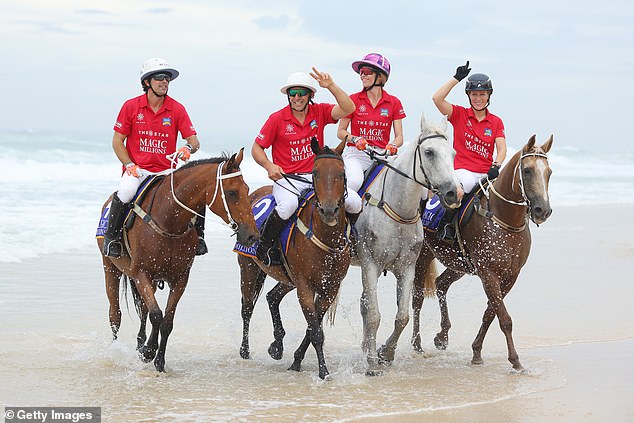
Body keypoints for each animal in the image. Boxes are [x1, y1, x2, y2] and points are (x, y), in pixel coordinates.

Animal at [97, 151, 256, 372]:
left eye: (247, 189)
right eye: (232, 193)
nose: (252, 235)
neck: (169, 219)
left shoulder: (180, 279)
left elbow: (166, 321)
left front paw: (157, 359)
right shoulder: (141, 274)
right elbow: (157, 315)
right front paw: (149, 352)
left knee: (143, 310)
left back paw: (140, 344)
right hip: (111, 268)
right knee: (115, 314)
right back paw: (116, 349)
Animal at [236, 138, 348, 380]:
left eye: (342, 173)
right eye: (315, 173)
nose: (328, 210)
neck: (326, 238)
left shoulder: (329, 287)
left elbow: (313, 326)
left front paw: (296, 360)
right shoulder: (304, 287)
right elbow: (315, 330)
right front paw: (323, 371)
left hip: (288, 279)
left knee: (272, 297)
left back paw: (277, 345)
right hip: (248, 268)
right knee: (247, 307)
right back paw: (245, 350)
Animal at [350, 114, 460, 376]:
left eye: (452, 153)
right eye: (429, 152)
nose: (453, 193)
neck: (397, 209)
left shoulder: (407, 268)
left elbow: (402, 316)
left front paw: (385, 353)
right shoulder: (371, 265)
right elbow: (374, 315)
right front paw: (373, 364)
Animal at [410, 135, 552, 372]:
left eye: (549, 172)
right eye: (527, 170)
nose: (543, 210)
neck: (505, 219)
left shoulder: (510, 275)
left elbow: (490, 313)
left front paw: (476, 352)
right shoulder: (488, 273)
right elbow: (504, 318)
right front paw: (515, 360)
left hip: (458, 263)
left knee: (441, 284)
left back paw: (442, 336)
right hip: (422, 256)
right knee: (417, 298)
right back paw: (417, 343)